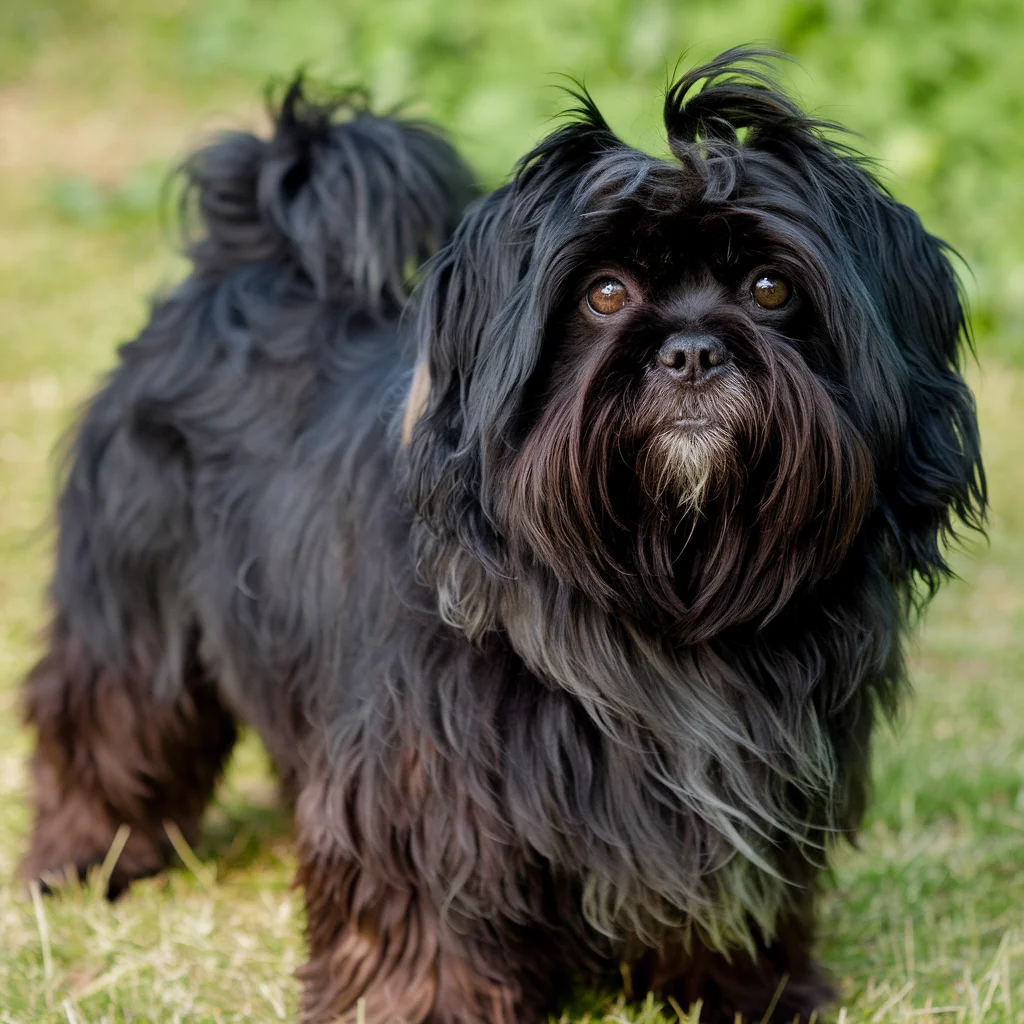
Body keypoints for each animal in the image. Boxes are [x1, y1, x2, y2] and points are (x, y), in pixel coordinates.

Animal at [19, 49, 983, 1024]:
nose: (692, 352)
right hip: (133, 604)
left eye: (770, 288)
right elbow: (420, 903)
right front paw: (415, 1005)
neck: (661, 591)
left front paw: (749, 989)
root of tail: (244, 263)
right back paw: (81, 859)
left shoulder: (765, 777)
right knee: (108, 722)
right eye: (604, 293)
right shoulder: (424, 775)